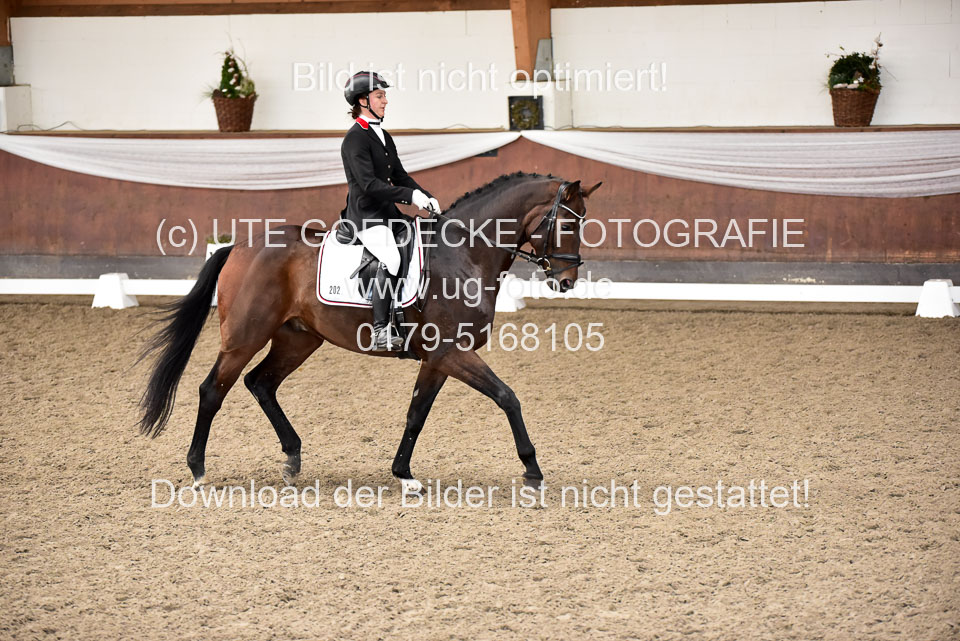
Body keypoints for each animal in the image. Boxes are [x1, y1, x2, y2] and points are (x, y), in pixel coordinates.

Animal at [137, 171, 602, 492]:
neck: (465, 254)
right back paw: (198, 468)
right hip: (245, 337)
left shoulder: (437, 359)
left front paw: (404, 474)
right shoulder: (451, 352)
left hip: (298, 338)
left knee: (261, 383)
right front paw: (532, 469)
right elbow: (508, 397)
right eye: (567, 225)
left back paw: (292, 458)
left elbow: (417, 413)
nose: (566, 281)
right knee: (213, 390)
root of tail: (240, 245)